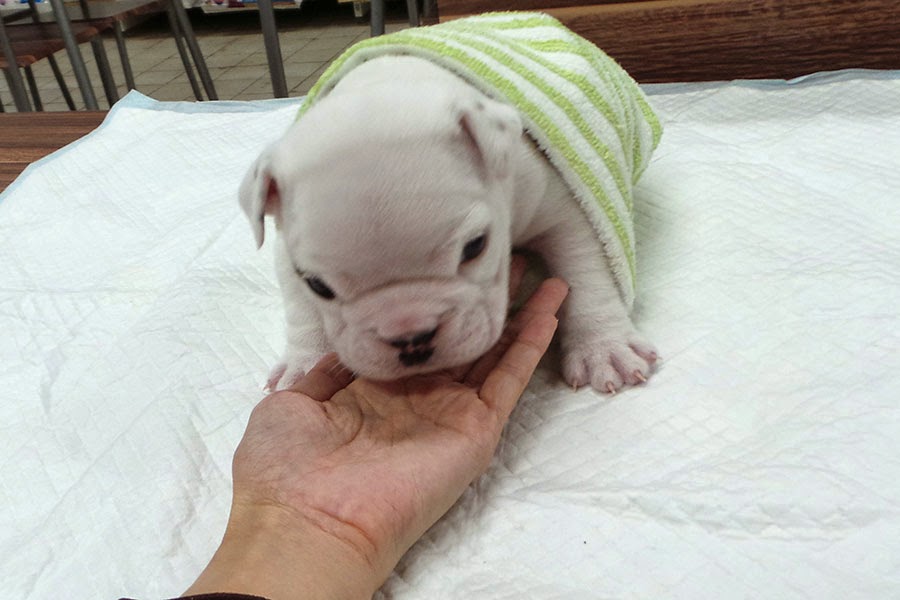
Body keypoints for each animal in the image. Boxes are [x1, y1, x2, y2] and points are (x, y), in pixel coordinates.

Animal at [240, 29, 659, 394]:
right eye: (319, 286)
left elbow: (586, 272)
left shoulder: (559, 209)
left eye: (475, 247)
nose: (410, 336)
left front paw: (603, 347)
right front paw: (304, 362)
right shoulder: (286, 250)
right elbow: (300, 309)